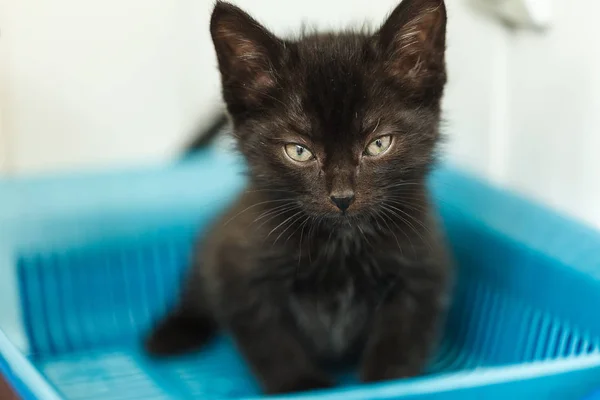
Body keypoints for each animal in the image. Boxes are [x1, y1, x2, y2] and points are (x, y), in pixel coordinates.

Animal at [148, 0, 452, 394]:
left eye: (378, 144)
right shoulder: (237, 270)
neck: (340, 244)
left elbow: (402, 340)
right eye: (299, 151)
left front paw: (387, 382)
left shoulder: (422, 269)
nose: (342, 197)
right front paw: (301, 384)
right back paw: (170, 334)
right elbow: (270, 340)